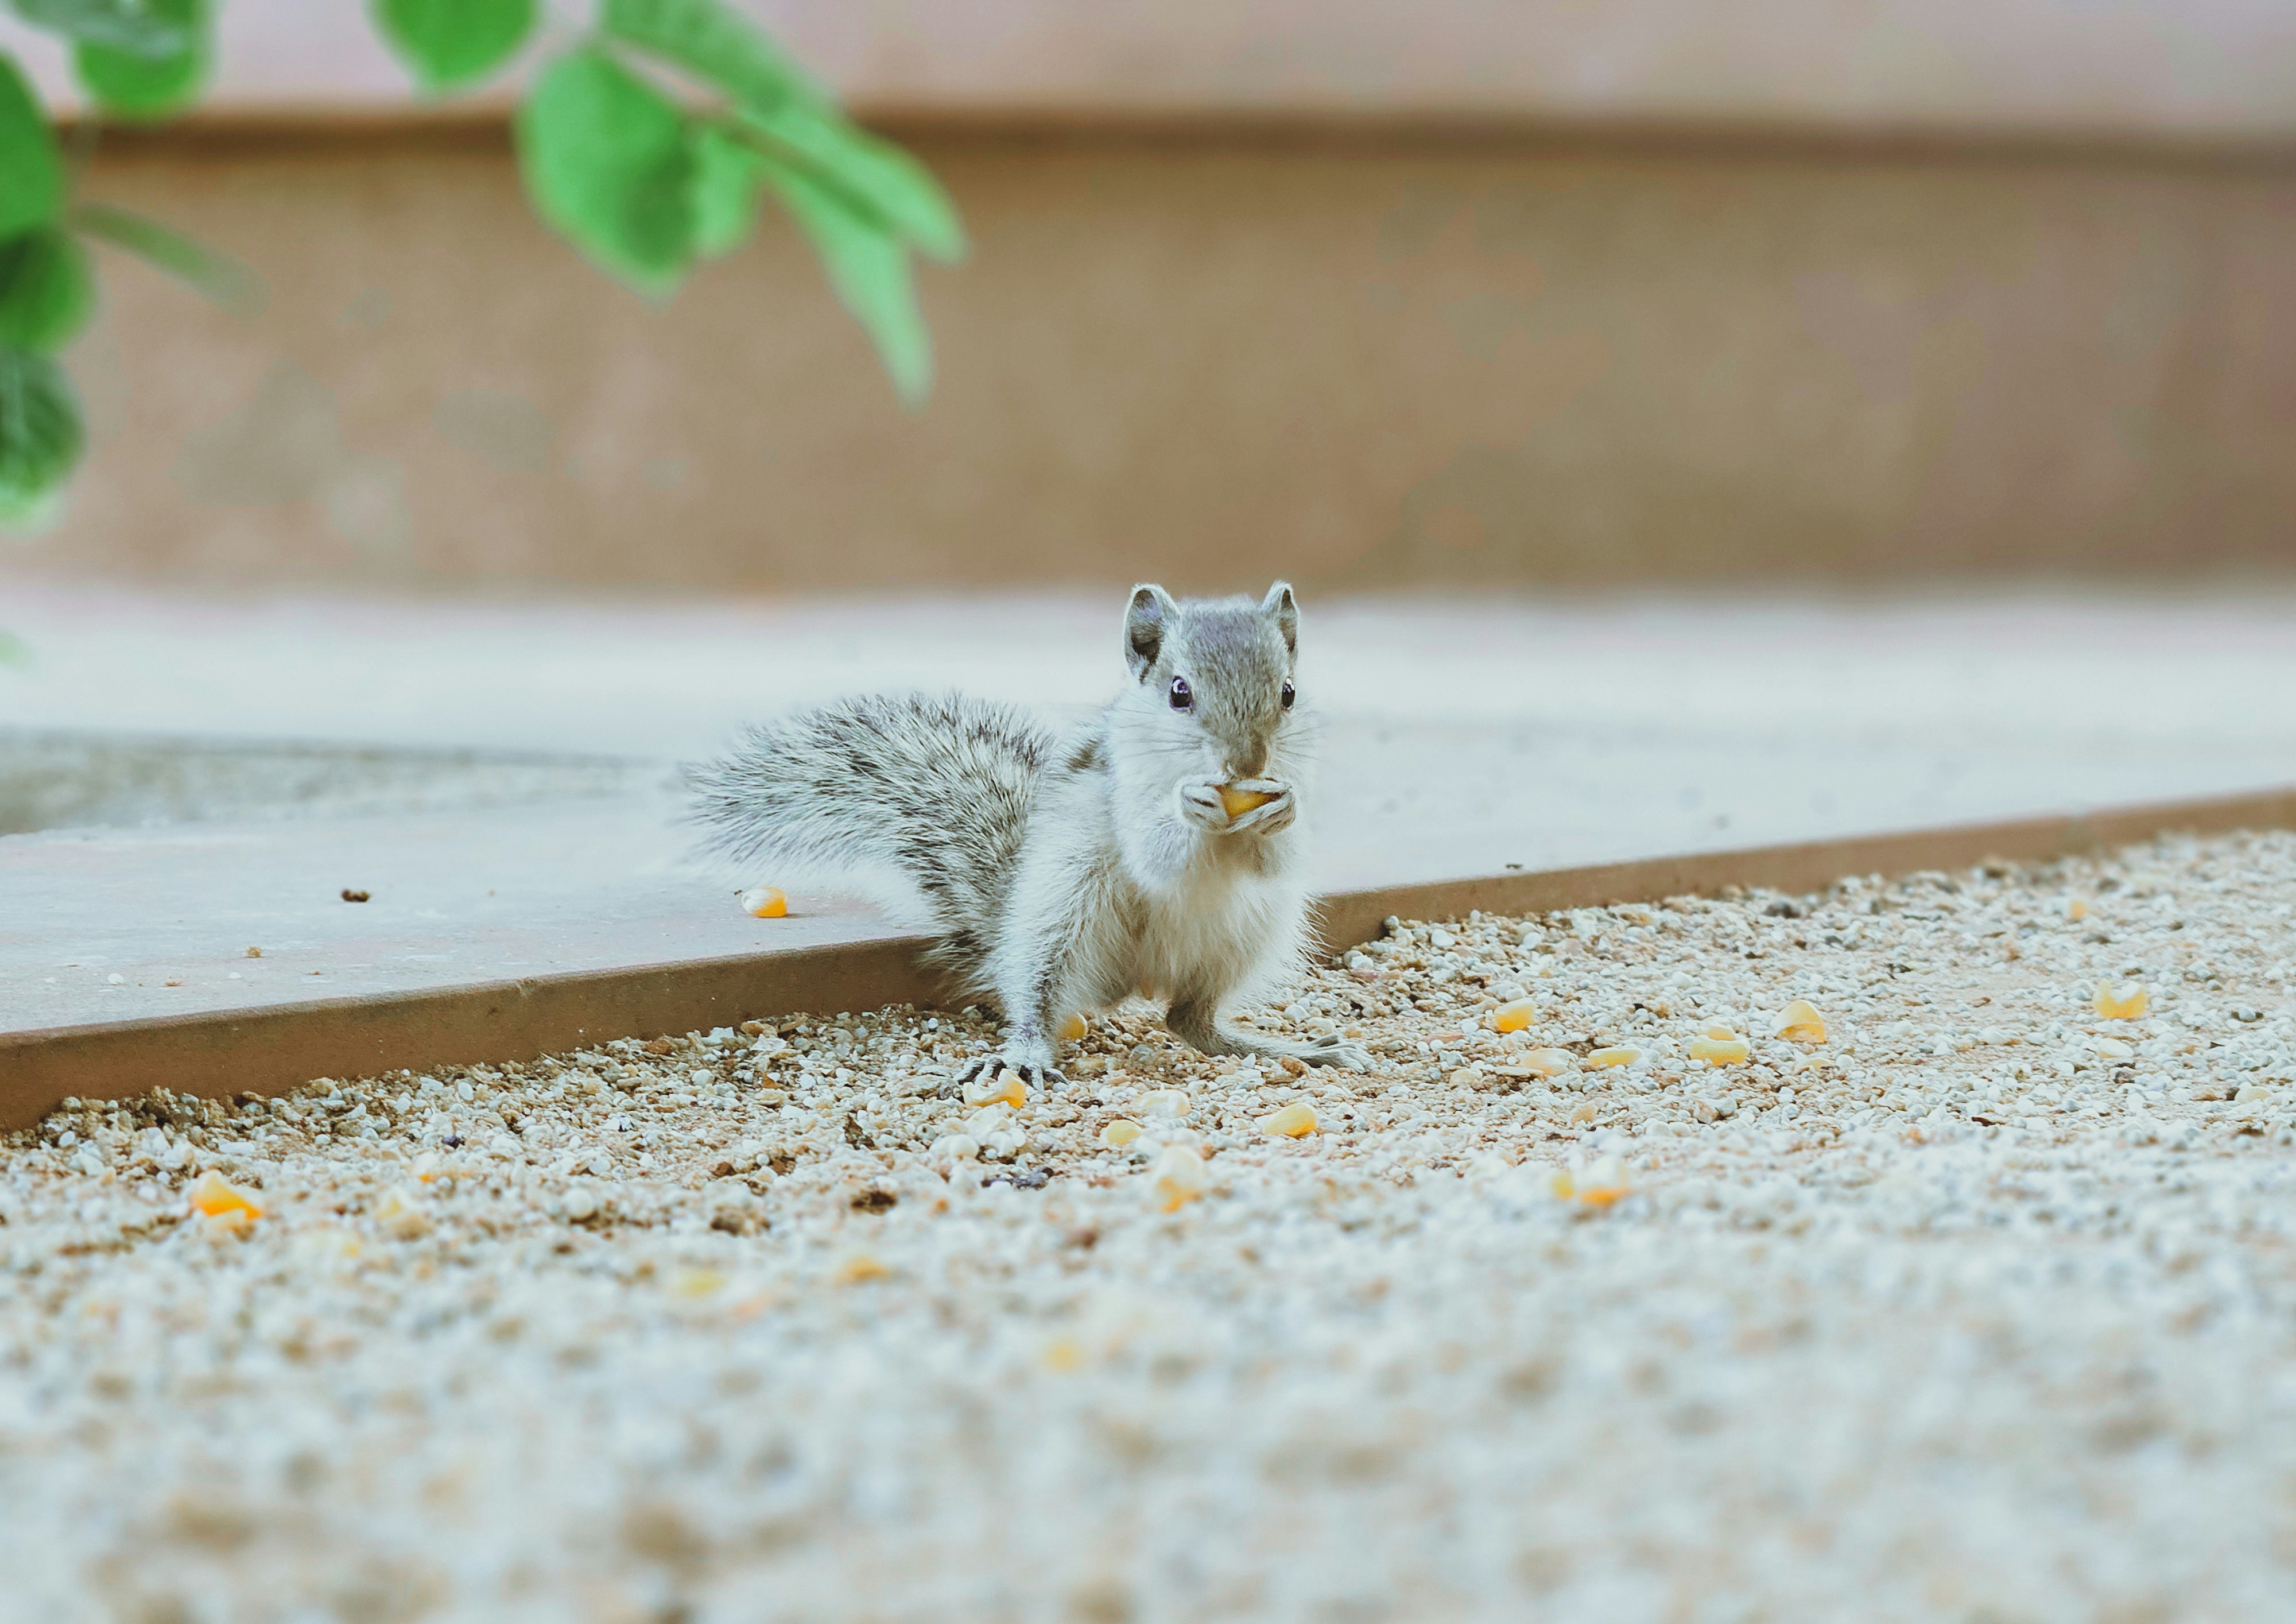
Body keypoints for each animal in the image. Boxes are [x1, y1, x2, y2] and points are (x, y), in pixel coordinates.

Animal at [685, 581, 1372, 1090]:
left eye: (1288, 693)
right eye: (1179, 693)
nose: (1247, 764)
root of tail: (1130, 983)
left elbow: (1275, 858)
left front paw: (1280, 807)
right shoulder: (1120, 791)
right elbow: (1153, 855)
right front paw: (1187, 808)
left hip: (1247, 935)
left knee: (1190, 1021)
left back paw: (1295, 1049)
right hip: (1061, 912)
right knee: (1043, 995)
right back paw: (1026, 1053)